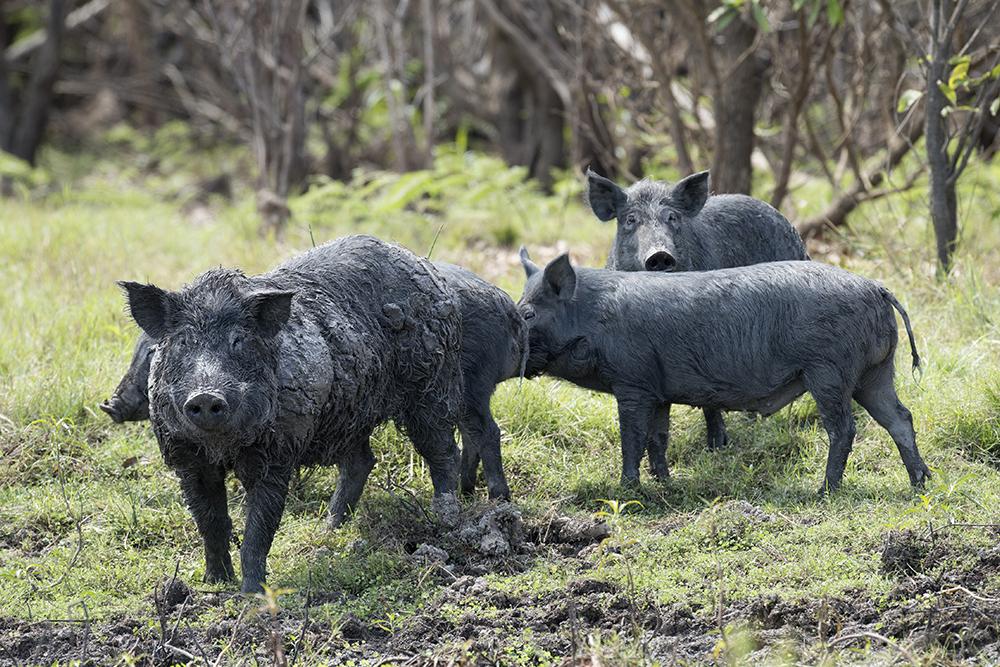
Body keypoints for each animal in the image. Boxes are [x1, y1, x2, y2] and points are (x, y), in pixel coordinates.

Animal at [107, 260, 532, 500]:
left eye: (151, 353)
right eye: (172, 347)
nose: (109, 405)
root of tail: (509, 308)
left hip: (456, 388)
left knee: (479, 433)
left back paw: (489, 501)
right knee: (365, 460)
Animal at [116, 236, 464, 596]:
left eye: (239, 340)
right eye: (183, 341)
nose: (206, 395)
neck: (222, 447)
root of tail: (424, 266)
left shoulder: (277, 452)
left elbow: (259, 529)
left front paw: (252, 594)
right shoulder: (186, 458)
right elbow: (210, 523)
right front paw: (213, 582)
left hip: (431, 384)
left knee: (444, 450)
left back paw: (447, 521)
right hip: (350, 414)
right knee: (362, 461)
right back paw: (330, 529)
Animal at [520, 250, 932, 496]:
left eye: (527, 313)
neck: (592, 319)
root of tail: (876, 288)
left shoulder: (632, 383)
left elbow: (631, 438)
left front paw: (627, 489)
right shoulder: (657, 391)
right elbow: (658, 438)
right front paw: (665, 483)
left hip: (828, 371)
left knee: (844, 427)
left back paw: (825, 491)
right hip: (874, 373)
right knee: (901, 417)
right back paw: (921, 483)